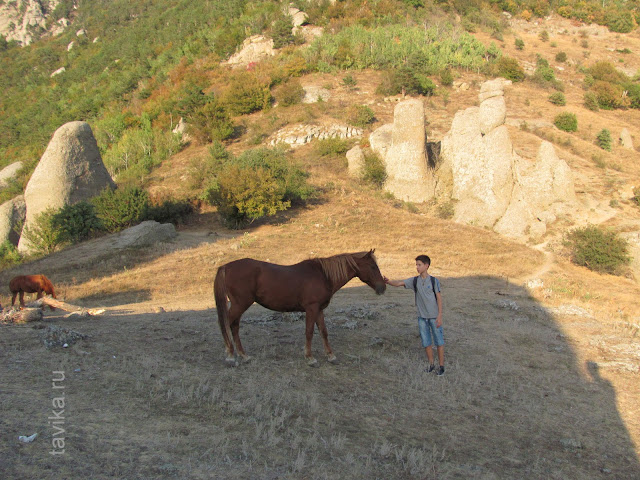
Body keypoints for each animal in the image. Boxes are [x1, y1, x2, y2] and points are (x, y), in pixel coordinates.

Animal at [214, 249, 384, 366]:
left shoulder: (319, 310)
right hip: (240, 304)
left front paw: (330, 356)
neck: (323, 275)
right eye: (372, 266)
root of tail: (226, 267)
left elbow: (324, 332)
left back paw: (243, 355)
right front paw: (310, 358)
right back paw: (230, 355)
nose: (382, 288)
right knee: (227, 324)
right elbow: (309, 332)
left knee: (234, 326)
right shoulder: (311, 308)